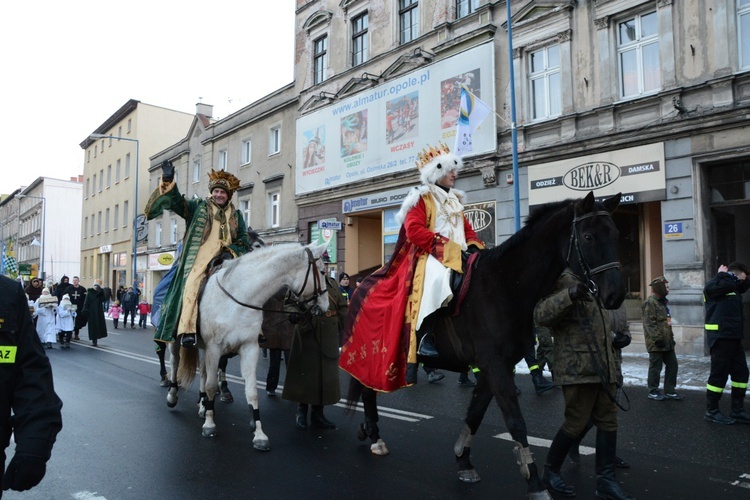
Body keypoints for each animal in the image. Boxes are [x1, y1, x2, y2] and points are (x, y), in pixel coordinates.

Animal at [166, 242, 330, 450]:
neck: (239, 297)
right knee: (175, 362)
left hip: (203, 348)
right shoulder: (214, 348)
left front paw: (259, 434)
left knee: (202, 372)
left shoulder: (249, 347)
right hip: (176, 341)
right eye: (323, 272)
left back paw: (203, 405)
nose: (325, 308)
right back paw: (172, 396)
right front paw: (210, 425)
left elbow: (252, 391)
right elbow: (212, 386)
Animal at [344, 189, 624, 498]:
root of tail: (361, 281)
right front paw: (536, 483)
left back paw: (369, 431)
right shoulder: (495, 367)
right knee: (368, 390)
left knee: (368, 389)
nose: (616, 295)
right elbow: (516, 422)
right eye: (588, 237)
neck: (506, 284)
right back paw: (375, 436)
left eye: (615, 234)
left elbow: (475, 414)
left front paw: (464, 461)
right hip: (375, 355)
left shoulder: (494, 368)